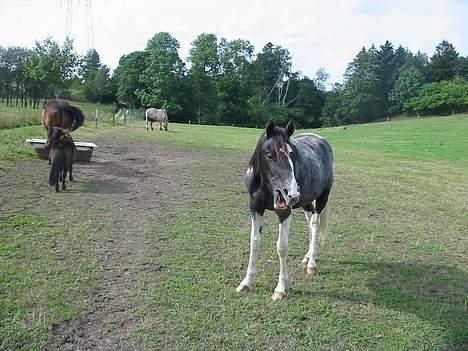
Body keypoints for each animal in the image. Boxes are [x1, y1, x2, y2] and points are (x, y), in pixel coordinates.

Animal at [238, 119, 332, 302]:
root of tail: (321, 140)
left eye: (292, 153)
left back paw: (312, 264)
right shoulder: (255, 207)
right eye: (269, 155)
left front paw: (280, 289)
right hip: (306, 201)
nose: (293, 194)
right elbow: (254, 241)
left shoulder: (284, 212)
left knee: (315, 224)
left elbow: (281, 247)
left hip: (322, 197)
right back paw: (307, 257)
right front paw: (246, 282)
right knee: (310, 221)